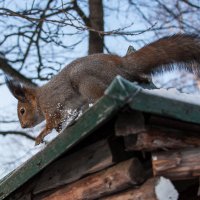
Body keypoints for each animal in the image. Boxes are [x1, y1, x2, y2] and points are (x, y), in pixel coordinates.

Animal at [5, 34, 200, 144]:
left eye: (22, 111)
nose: (23, 126)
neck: (39, 101)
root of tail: (121, 64)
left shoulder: (52, 106)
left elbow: (51, 123)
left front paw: (40, 136)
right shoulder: (72, 106)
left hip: (86, 82)